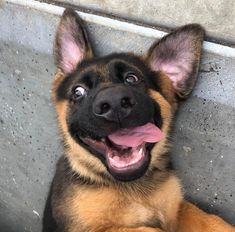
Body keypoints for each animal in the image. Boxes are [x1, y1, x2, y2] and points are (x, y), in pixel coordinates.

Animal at [42, 8, 235, 232]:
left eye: (132, 79)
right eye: (78, 91)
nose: (114, 103)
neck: (132, 187)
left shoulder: (177, 208)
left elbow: (208, 219)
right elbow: (147, 229)